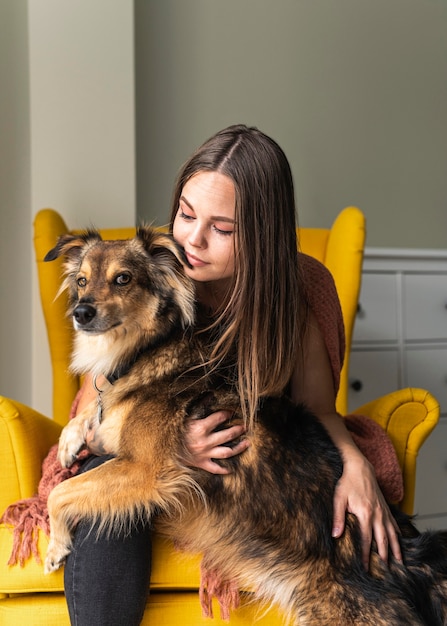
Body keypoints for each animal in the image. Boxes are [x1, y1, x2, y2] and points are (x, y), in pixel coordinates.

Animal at [43, 228, 447, 624]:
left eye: (123, 279)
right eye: (82, 280)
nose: (81, 313)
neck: (150, 347)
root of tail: (410, 561)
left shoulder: (147, 470)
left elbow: (58, 494)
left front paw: (56, 545)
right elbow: (92, 413)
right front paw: (71, 439)